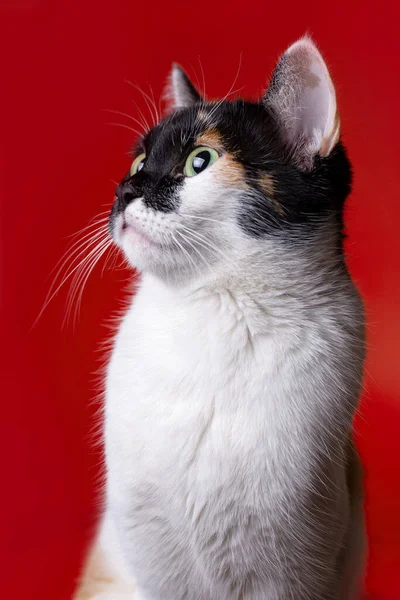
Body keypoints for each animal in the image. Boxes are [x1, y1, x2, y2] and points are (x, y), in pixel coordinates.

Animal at [74, 37, 366, 600]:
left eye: (199, 161)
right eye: (139, 161)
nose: (123, 192)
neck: (215, 314)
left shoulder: (294, 568)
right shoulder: (153, 559)